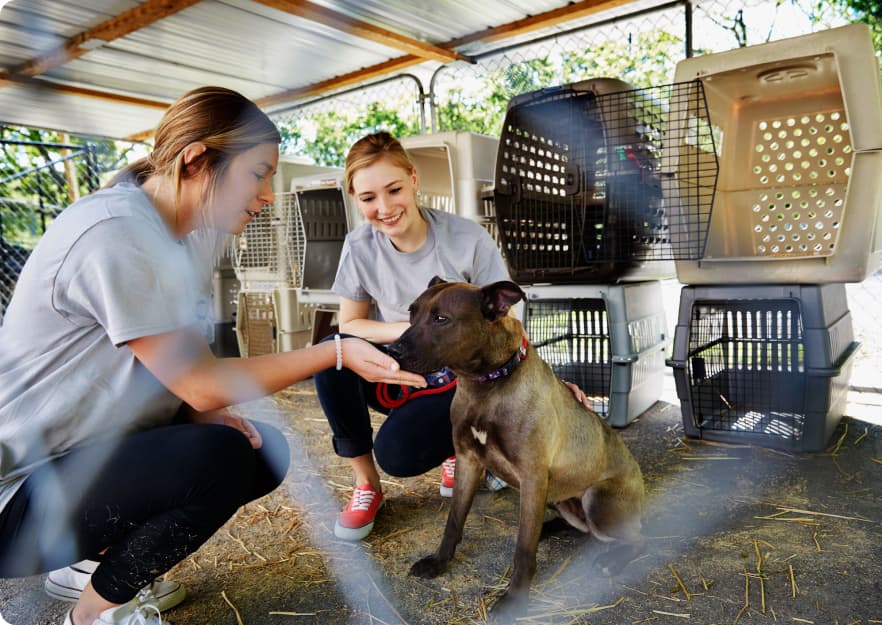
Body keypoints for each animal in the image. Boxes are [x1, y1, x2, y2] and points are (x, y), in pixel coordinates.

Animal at [388, 280, 644, 620]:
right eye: (412, 312)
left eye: (441, 319)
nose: (391, 351)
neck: (487, 385)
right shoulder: (468, 461)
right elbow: (453, 521)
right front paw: (440, 562)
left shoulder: (532, 477)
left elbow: (523, 548)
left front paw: (516, 597)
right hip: (559, 498)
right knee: (580, 527)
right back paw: (548, 529)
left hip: (596, 499)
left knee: (639, 539)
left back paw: (611, 560)